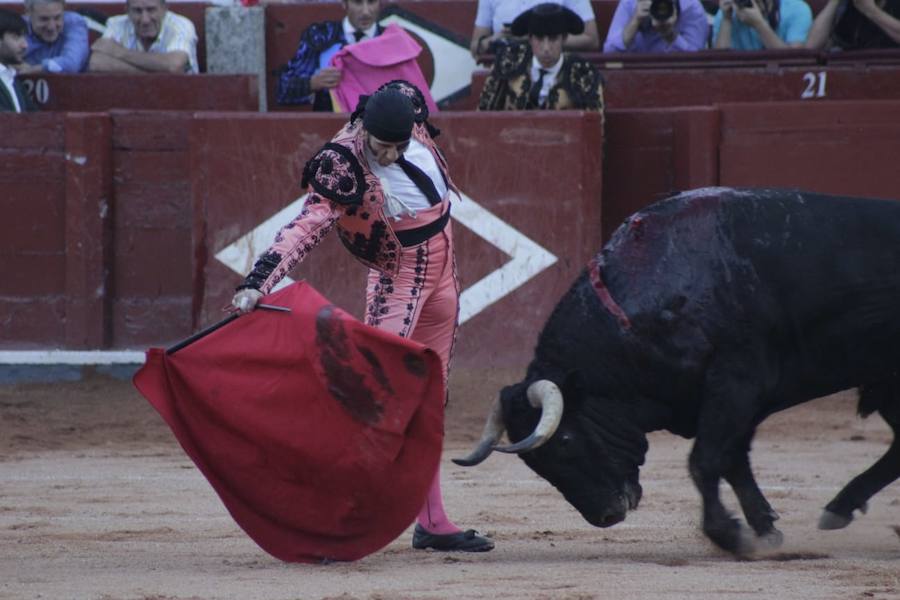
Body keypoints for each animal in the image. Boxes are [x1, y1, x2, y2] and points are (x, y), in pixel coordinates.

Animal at [458, 189, 900, 556]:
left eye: (565, 441)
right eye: (534, 463)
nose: (606, 516)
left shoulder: (737, 383)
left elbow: (706, 460)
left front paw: (730, 535)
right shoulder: (731, 400)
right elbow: (733, 460)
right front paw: (764, 530)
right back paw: (839, 508)